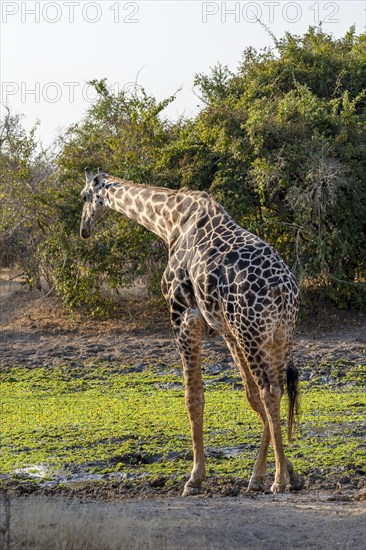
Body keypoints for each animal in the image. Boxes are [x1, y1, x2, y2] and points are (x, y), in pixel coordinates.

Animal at [79, 167, 300, 496]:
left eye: (83, 197)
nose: (84, 229)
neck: (168, 221)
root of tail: (283, 290)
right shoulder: (225, 329)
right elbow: (248, 395)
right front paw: (271, 473)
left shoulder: (183, 315)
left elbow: (193, 396)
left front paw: (195, 478)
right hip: (276, 334)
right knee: (275, 389)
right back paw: (277, 475)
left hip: (252, 331)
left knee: (270, 390)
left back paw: (279, 481)